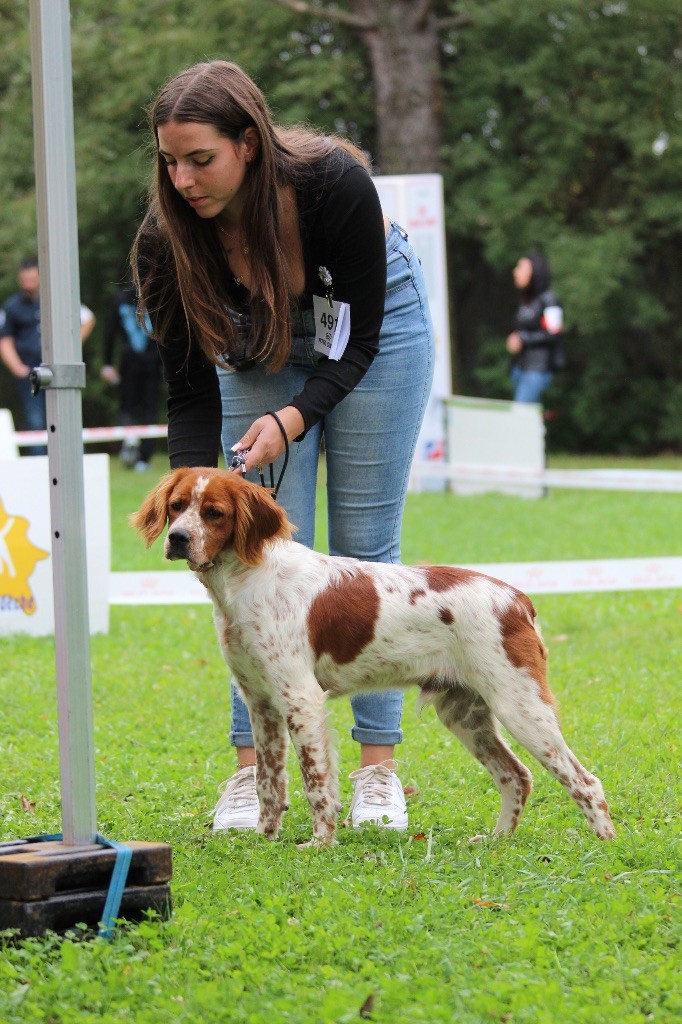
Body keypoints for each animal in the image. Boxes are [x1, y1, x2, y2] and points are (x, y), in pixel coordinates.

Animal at [131, 467, 616, 845]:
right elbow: (269, 783)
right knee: (517, 775)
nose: (178, 538)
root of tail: (517, 599)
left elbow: (315, 782)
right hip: (465, 712)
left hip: (520, 705)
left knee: (585, 781)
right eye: (176, 506)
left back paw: (605, 843)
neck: (247, 579)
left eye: (214, 513)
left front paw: (319, 844)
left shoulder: (300, 698)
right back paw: (497, 840)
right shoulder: (261, 702)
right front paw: (264, 839)